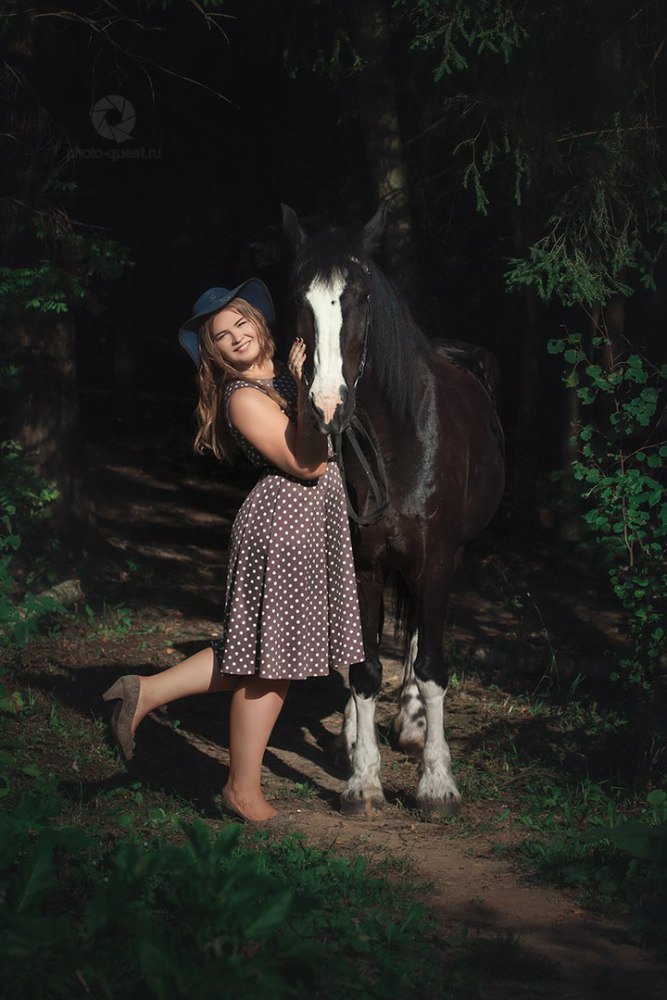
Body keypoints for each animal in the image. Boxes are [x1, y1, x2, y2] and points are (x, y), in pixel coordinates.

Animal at [282, 205, 506, 820]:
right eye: (300, 298)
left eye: (360, 296)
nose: (326, 405)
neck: (398, 440)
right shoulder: (365, 564)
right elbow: (362, 669)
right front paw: (362, 780)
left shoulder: (438, 560)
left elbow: (431, 667)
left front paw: (437, 784)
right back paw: (351, 739)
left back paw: (411, 725)